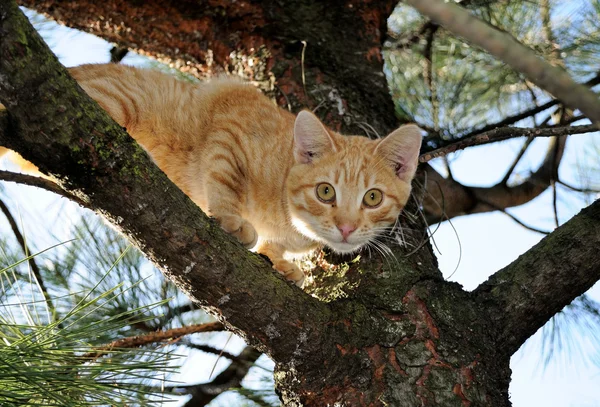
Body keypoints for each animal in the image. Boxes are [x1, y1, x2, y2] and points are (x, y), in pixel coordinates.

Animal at [2, 64, 422, 286]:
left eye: (372, 197)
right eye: (325, 191)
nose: (347, 228)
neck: (288, 218)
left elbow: (276, 247)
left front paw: (280, 261)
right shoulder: (230, 124)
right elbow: (224, 179)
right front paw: (233, 222)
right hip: (114, 102)